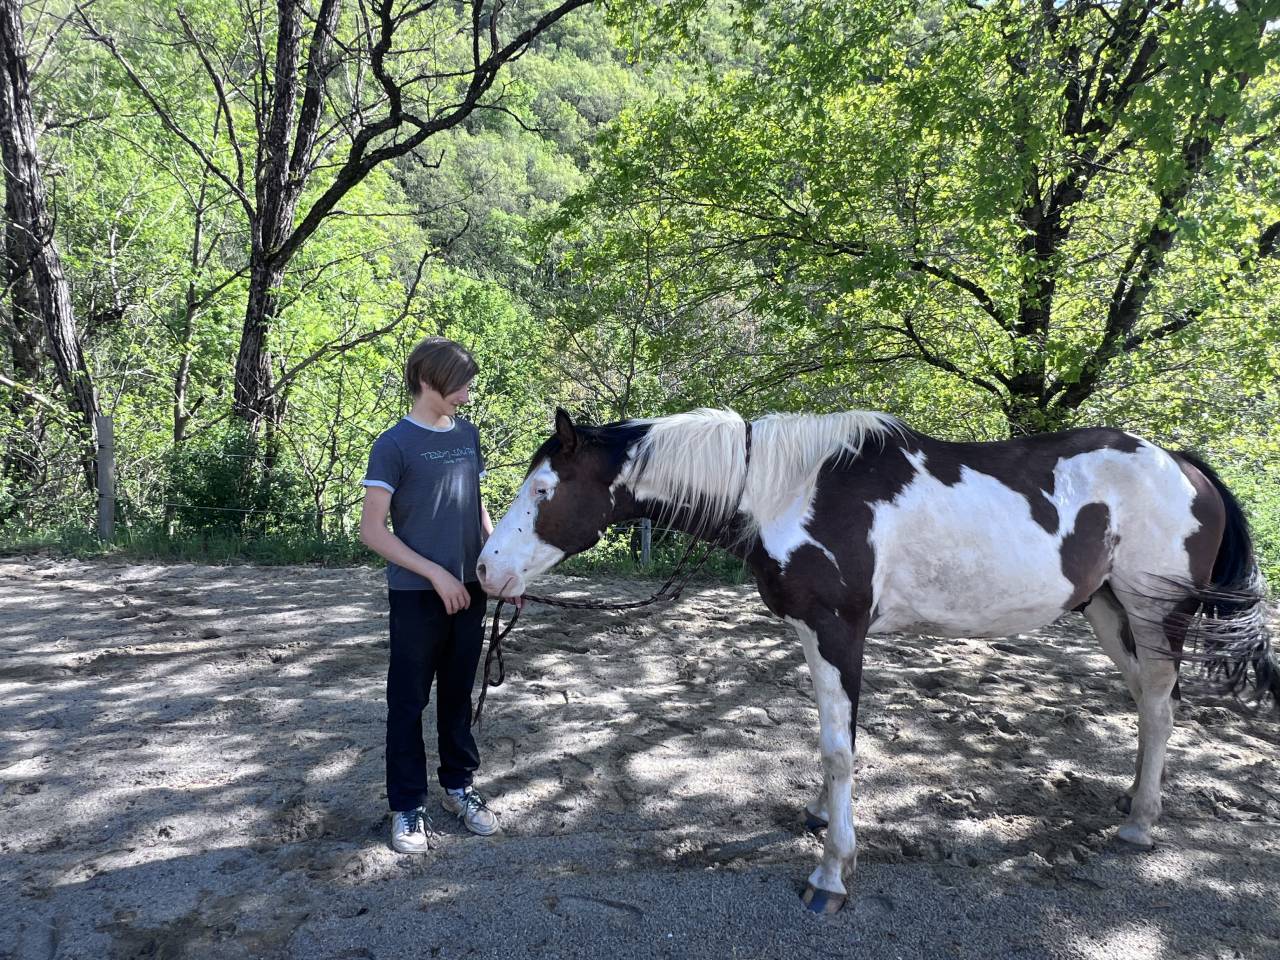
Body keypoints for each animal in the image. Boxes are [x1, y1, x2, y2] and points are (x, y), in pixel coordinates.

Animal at [475, 407, 1278, 913]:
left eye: (543, 490)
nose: (486, 571)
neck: (785, 489)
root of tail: (1182, 465)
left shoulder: (839, 633)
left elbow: (840, 750)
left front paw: (832, 874)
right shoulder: (815, 634)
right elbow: (832, 741)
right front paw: (818, 820)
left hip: (1153, 615)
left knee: (1162, 708)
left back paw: (1140, 824)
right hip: (1110, 612)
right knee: (1148, 704)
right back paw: (1134, 804)